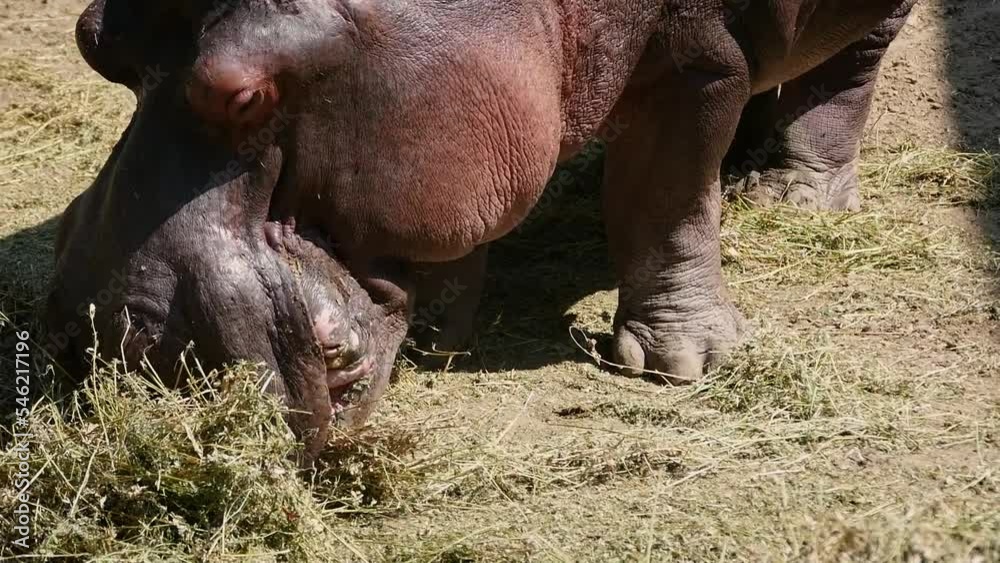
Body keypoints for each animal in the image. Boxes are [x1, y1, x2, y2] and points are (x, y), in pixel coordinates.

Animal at [49, 0, 916, 452]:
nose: (104, 335)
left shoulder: (697, 62)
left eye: (240, 93)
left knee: (849, 68)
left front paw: (680, 365)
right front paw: (445, 340)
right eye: (92, 41)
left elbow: (667, 202)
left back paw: (791, 195)